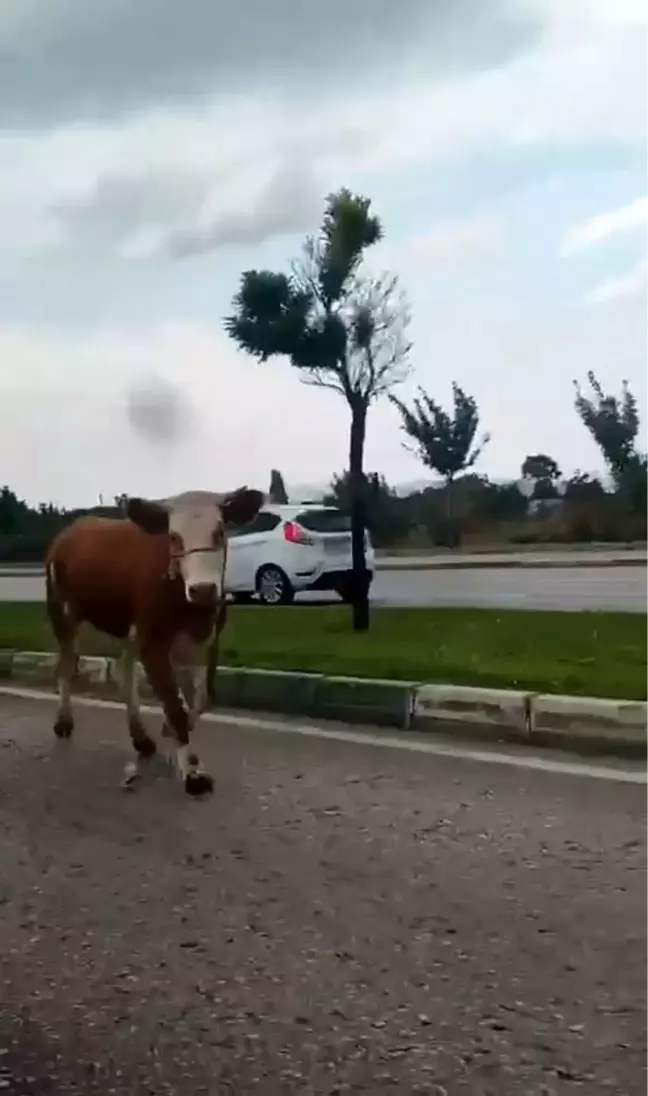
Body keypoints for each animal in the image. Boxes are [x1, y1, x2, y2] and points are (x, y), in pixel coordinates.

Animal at [44, 488, 263, 797]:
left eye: (220, 531)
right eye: (173, 537)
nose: (203, 589)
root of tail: (72, 528)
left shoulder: (207, 641)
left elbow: (200, 699)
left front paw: (174, 731)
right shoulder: (153, 644)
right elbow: (175, 706)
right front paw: (193, 772)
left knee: (124, 670)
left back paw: (141, 738)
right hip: (62, 612)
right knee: (66, 663)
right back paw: (64, 722)